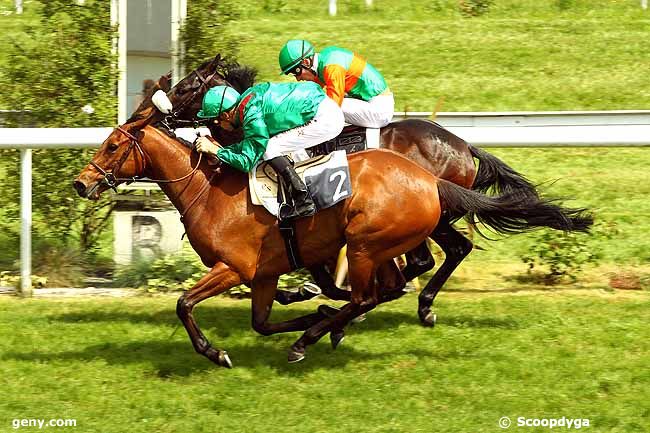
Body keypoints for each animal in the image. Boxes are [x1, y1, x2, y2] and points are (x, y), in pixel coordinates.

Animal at [73, 104, 588, 364]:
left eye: (113, 145)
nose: (81, 182)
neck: (209, 190)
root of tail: (430, 178)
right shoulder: (263, 273)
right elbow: (263, 320)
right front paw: (309, 308)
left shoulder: (234, 267)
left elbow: (183, 304)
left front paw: (214, 351)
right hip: (384, 242)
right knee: (394, 282)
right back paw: (333, 325)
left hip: (365, 243)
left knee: (375, 291)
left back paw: (318, 337)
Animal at [149, 55, 540, 324]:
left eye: (185, 87)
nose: (158, 115)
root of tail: (463, 146)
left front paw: (313, 293)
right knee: (439, 255)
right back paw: (405, 300)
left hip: (433, 217)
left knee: (439, 255)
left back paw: (406, 301)